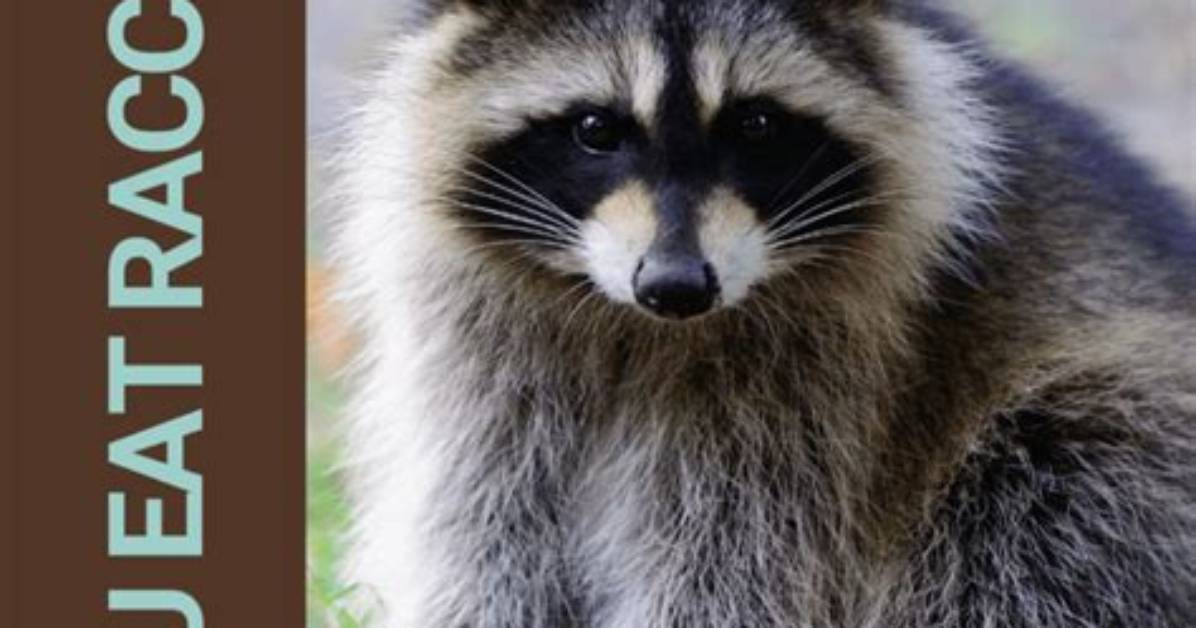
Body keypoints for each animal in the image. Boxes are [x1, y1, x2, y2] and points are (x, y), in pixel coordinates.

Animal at [331, 1, 1196, 626]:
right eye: (595, 129)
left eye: (755, 124)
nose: (677, 284)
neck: (637, 325)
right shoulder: (476, 336)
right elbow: (482, 524)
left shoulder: (815, 380)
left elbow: (734, 561)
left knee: (1047, 494)